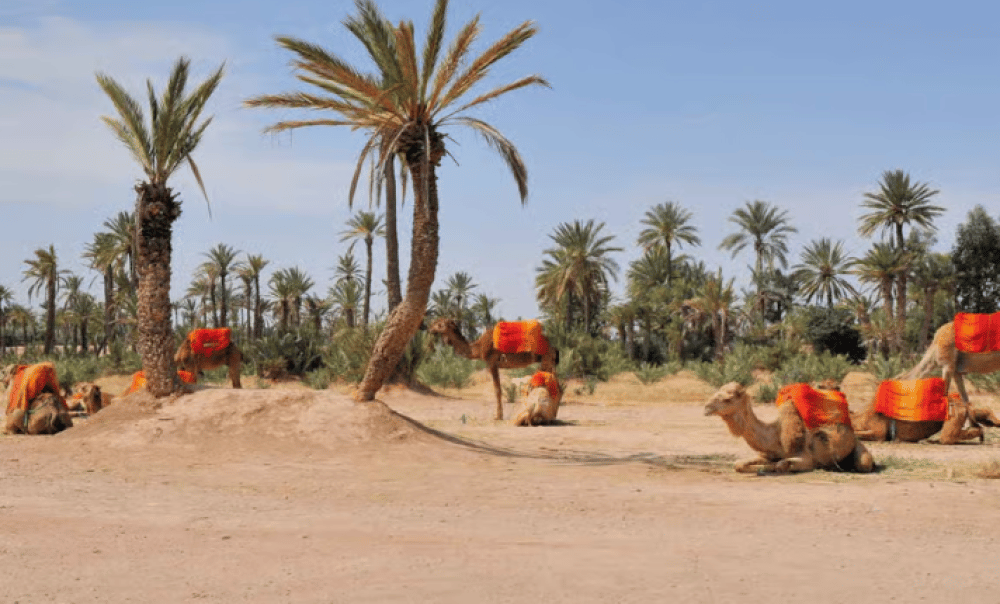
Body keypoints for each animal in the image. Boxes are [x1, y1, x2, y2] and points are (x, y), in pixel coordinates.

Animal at [428, 318, 558, 420]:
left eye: (439, 324)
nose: (430, 328)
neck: (478, 348)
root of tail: (552, 346)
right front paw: (499, 415)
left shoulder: (492, 363)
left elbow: (497, 390)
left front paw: (498, 416)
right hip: (547, 362)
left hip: (546, 360)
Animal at [704, 382, 875, 474]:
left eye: (727, 399)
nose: (706, 408)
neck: (776, 435)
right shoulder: (768, 453)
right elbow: (738, 464)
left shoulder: (807, 459)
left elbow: (781, 465)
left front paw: (769, 468)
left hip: (859, 450)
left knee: (864, 463)